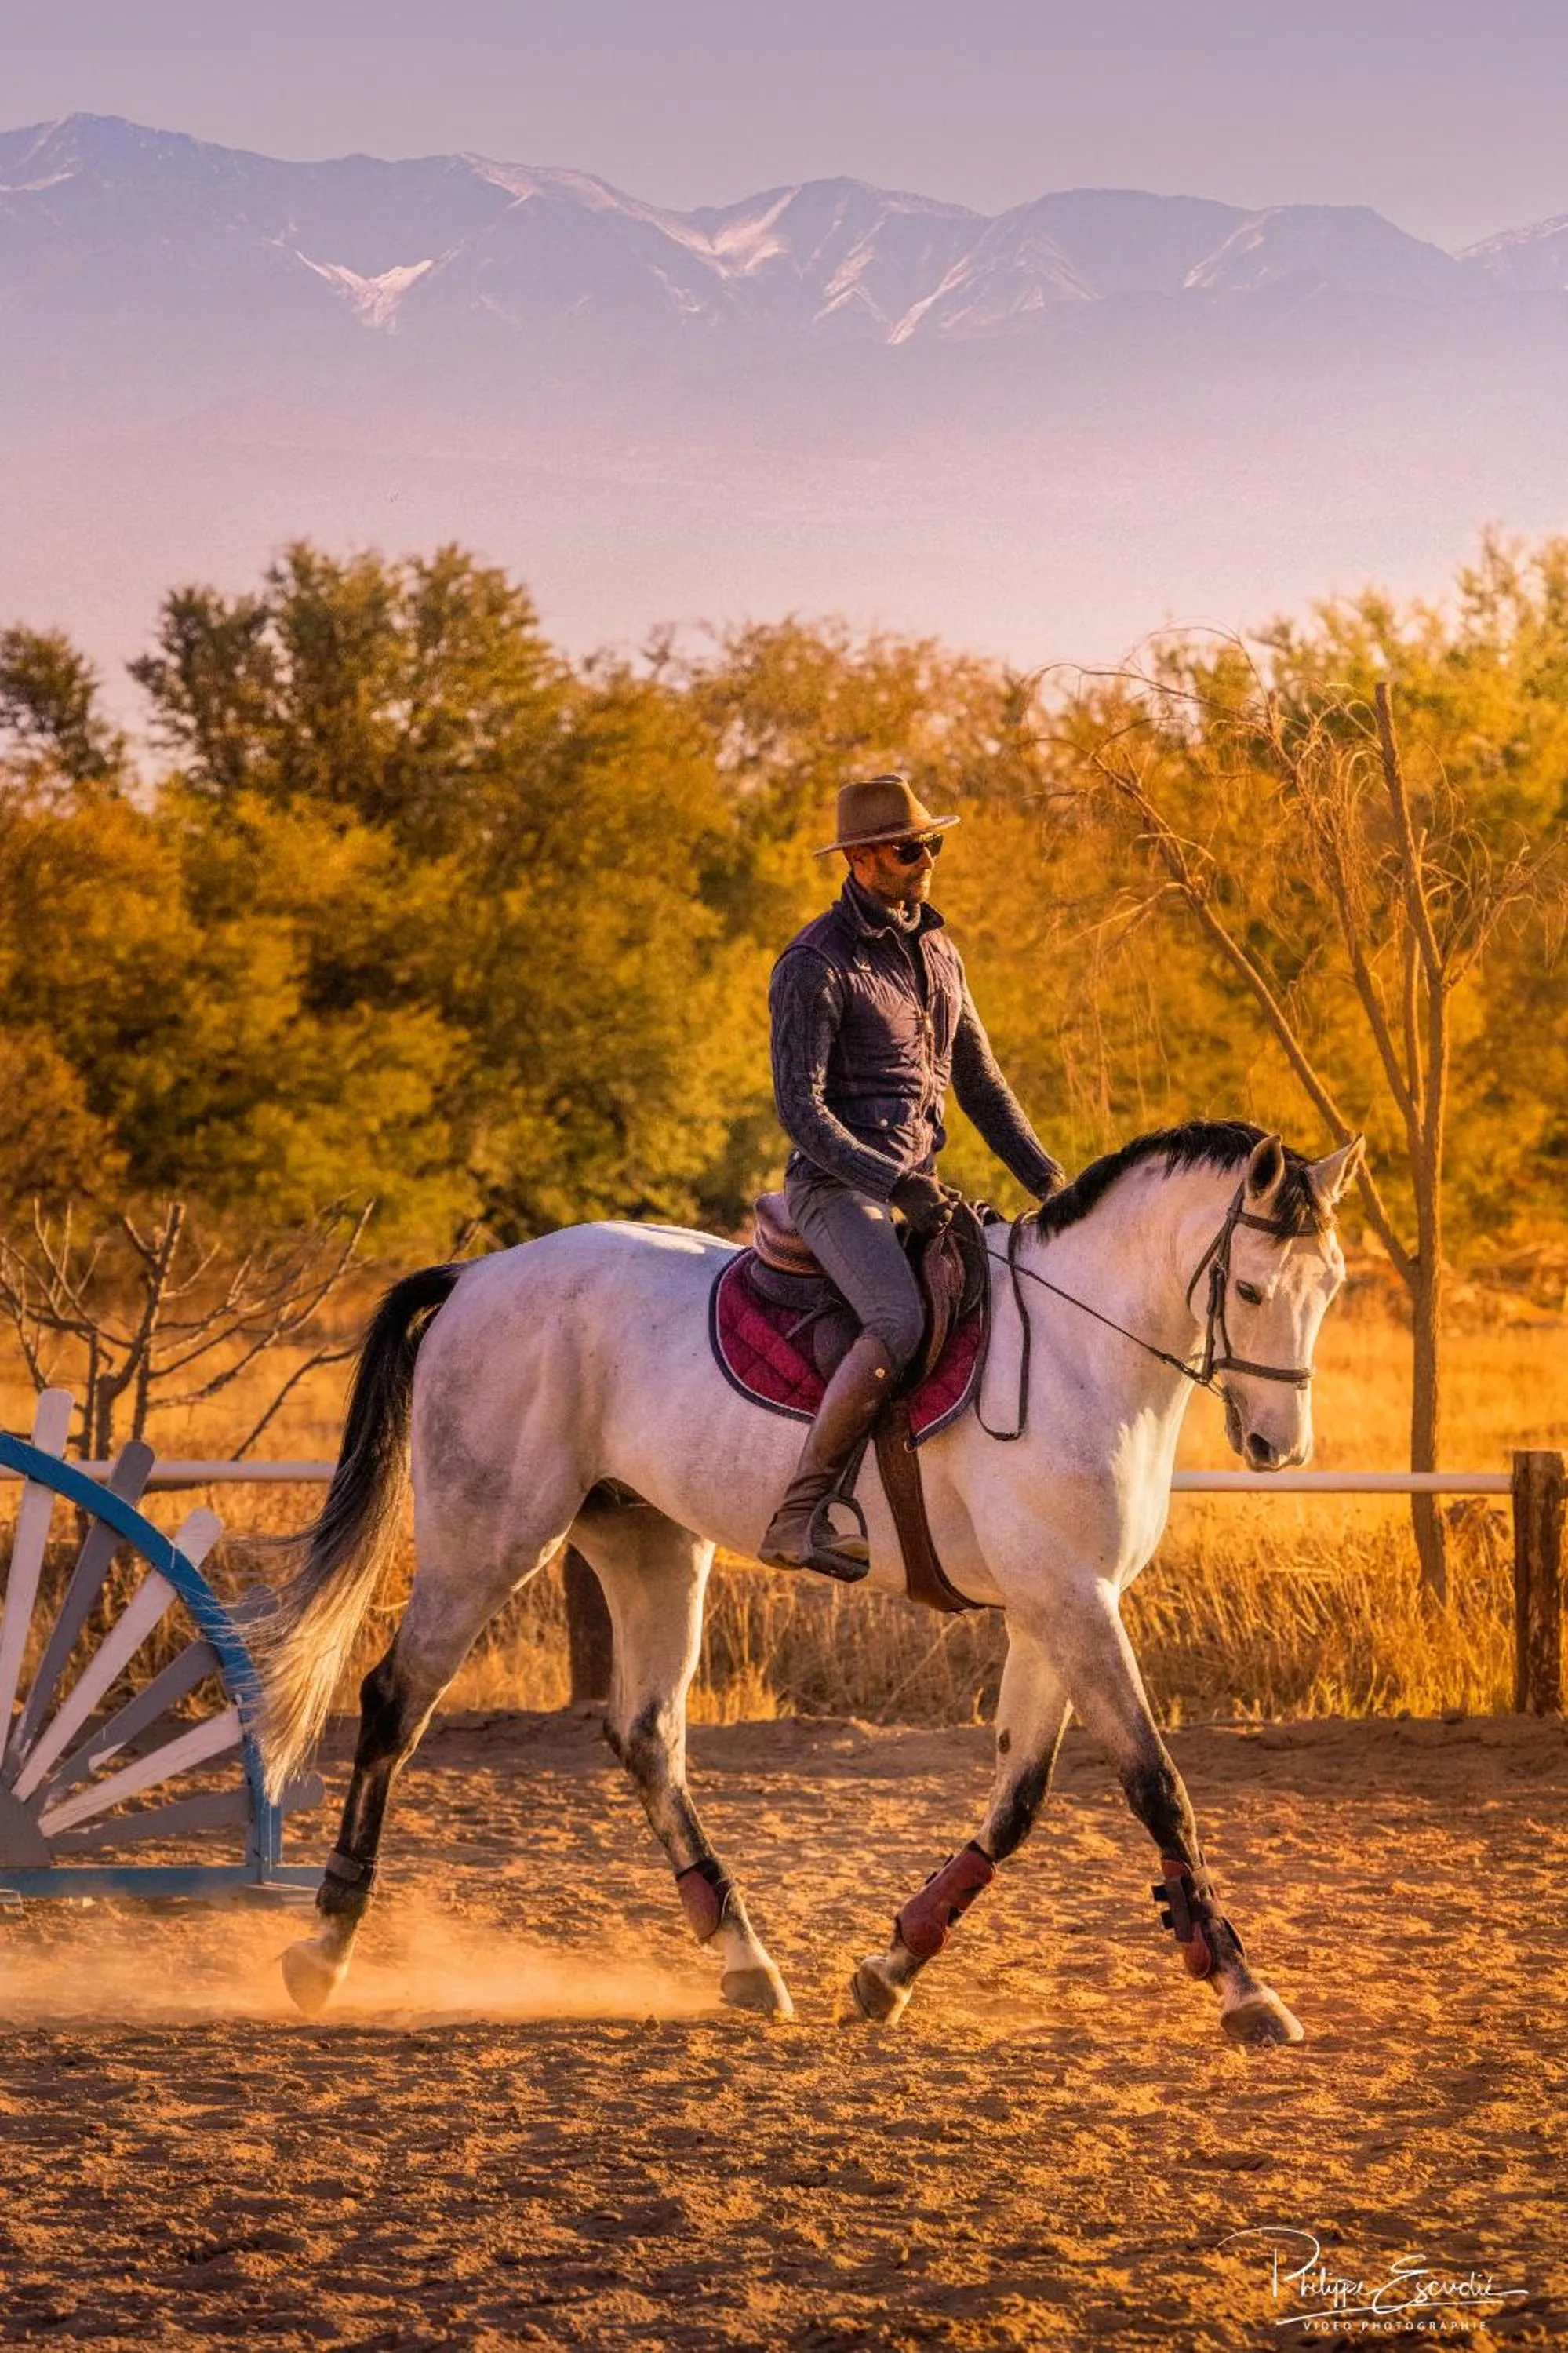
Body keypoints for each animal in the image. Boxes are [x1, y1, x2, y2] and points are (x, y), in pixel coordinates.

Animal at [255, 1120, 1363, 2045]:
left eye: (1332, 1287)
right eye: (1252, 1290)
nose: (1279, 1447)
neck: (1081, 1353)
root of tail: (480, 1271)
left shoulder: (1056, 1604)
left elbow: (1016, 1801)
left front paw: (890, 1966)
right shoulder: (1068, 1598)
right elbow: (1156, 1786)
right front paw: (1243, 1986)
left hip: (649, 1540)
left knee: (646, 1733)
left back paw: (744, 1957)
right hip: (489, 1537)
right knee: (396, 1699)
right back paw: (325, 1945)